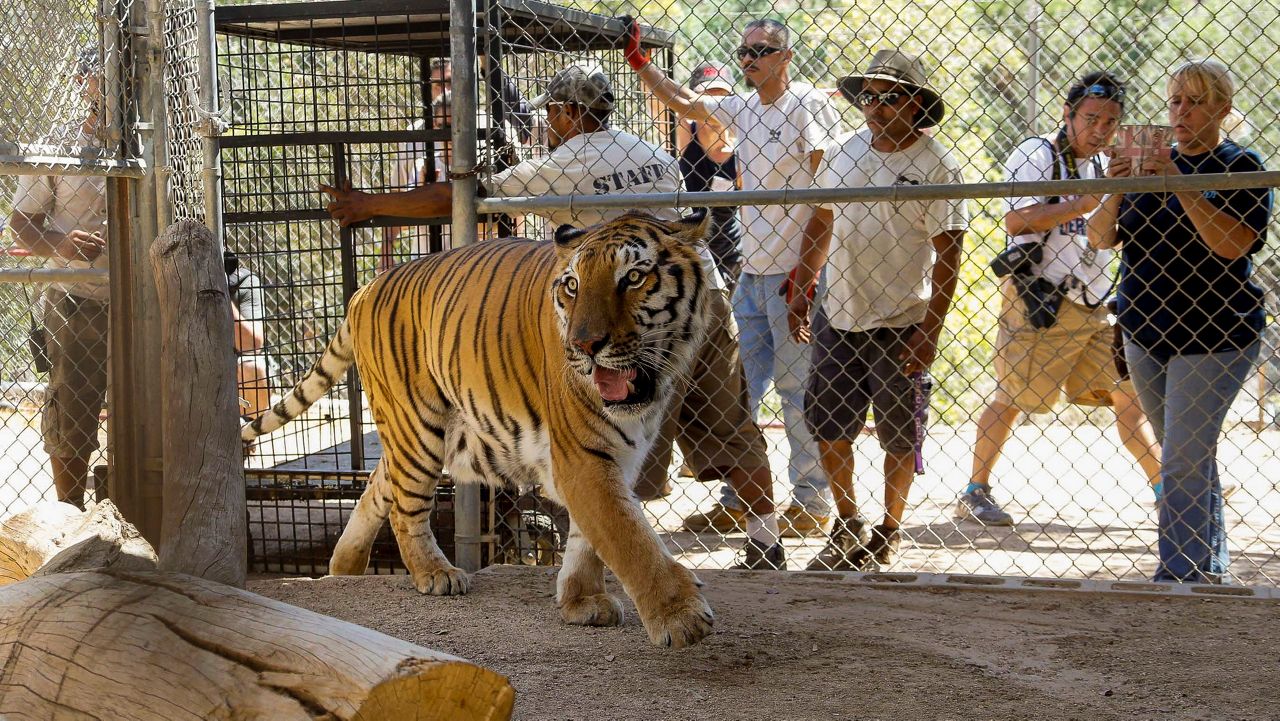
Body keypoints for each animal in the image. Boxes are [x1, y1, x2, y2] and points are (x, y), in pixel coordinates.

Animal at [240, 208, 721, 648]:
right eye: (573, 286)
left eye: (634, 277)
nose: (584, 345)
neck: (648, 392)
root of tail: (364, 289)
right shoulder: (582, 456)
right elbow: (628, 536)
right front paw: (680, 616)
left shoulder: (619, 455)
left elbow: (592, 538)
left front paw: (581, 601)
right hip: (418, 428)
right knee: (404, 507)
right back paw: (435, 573)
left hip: (411, 436)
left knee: (375, 491)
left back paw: (345, 572)